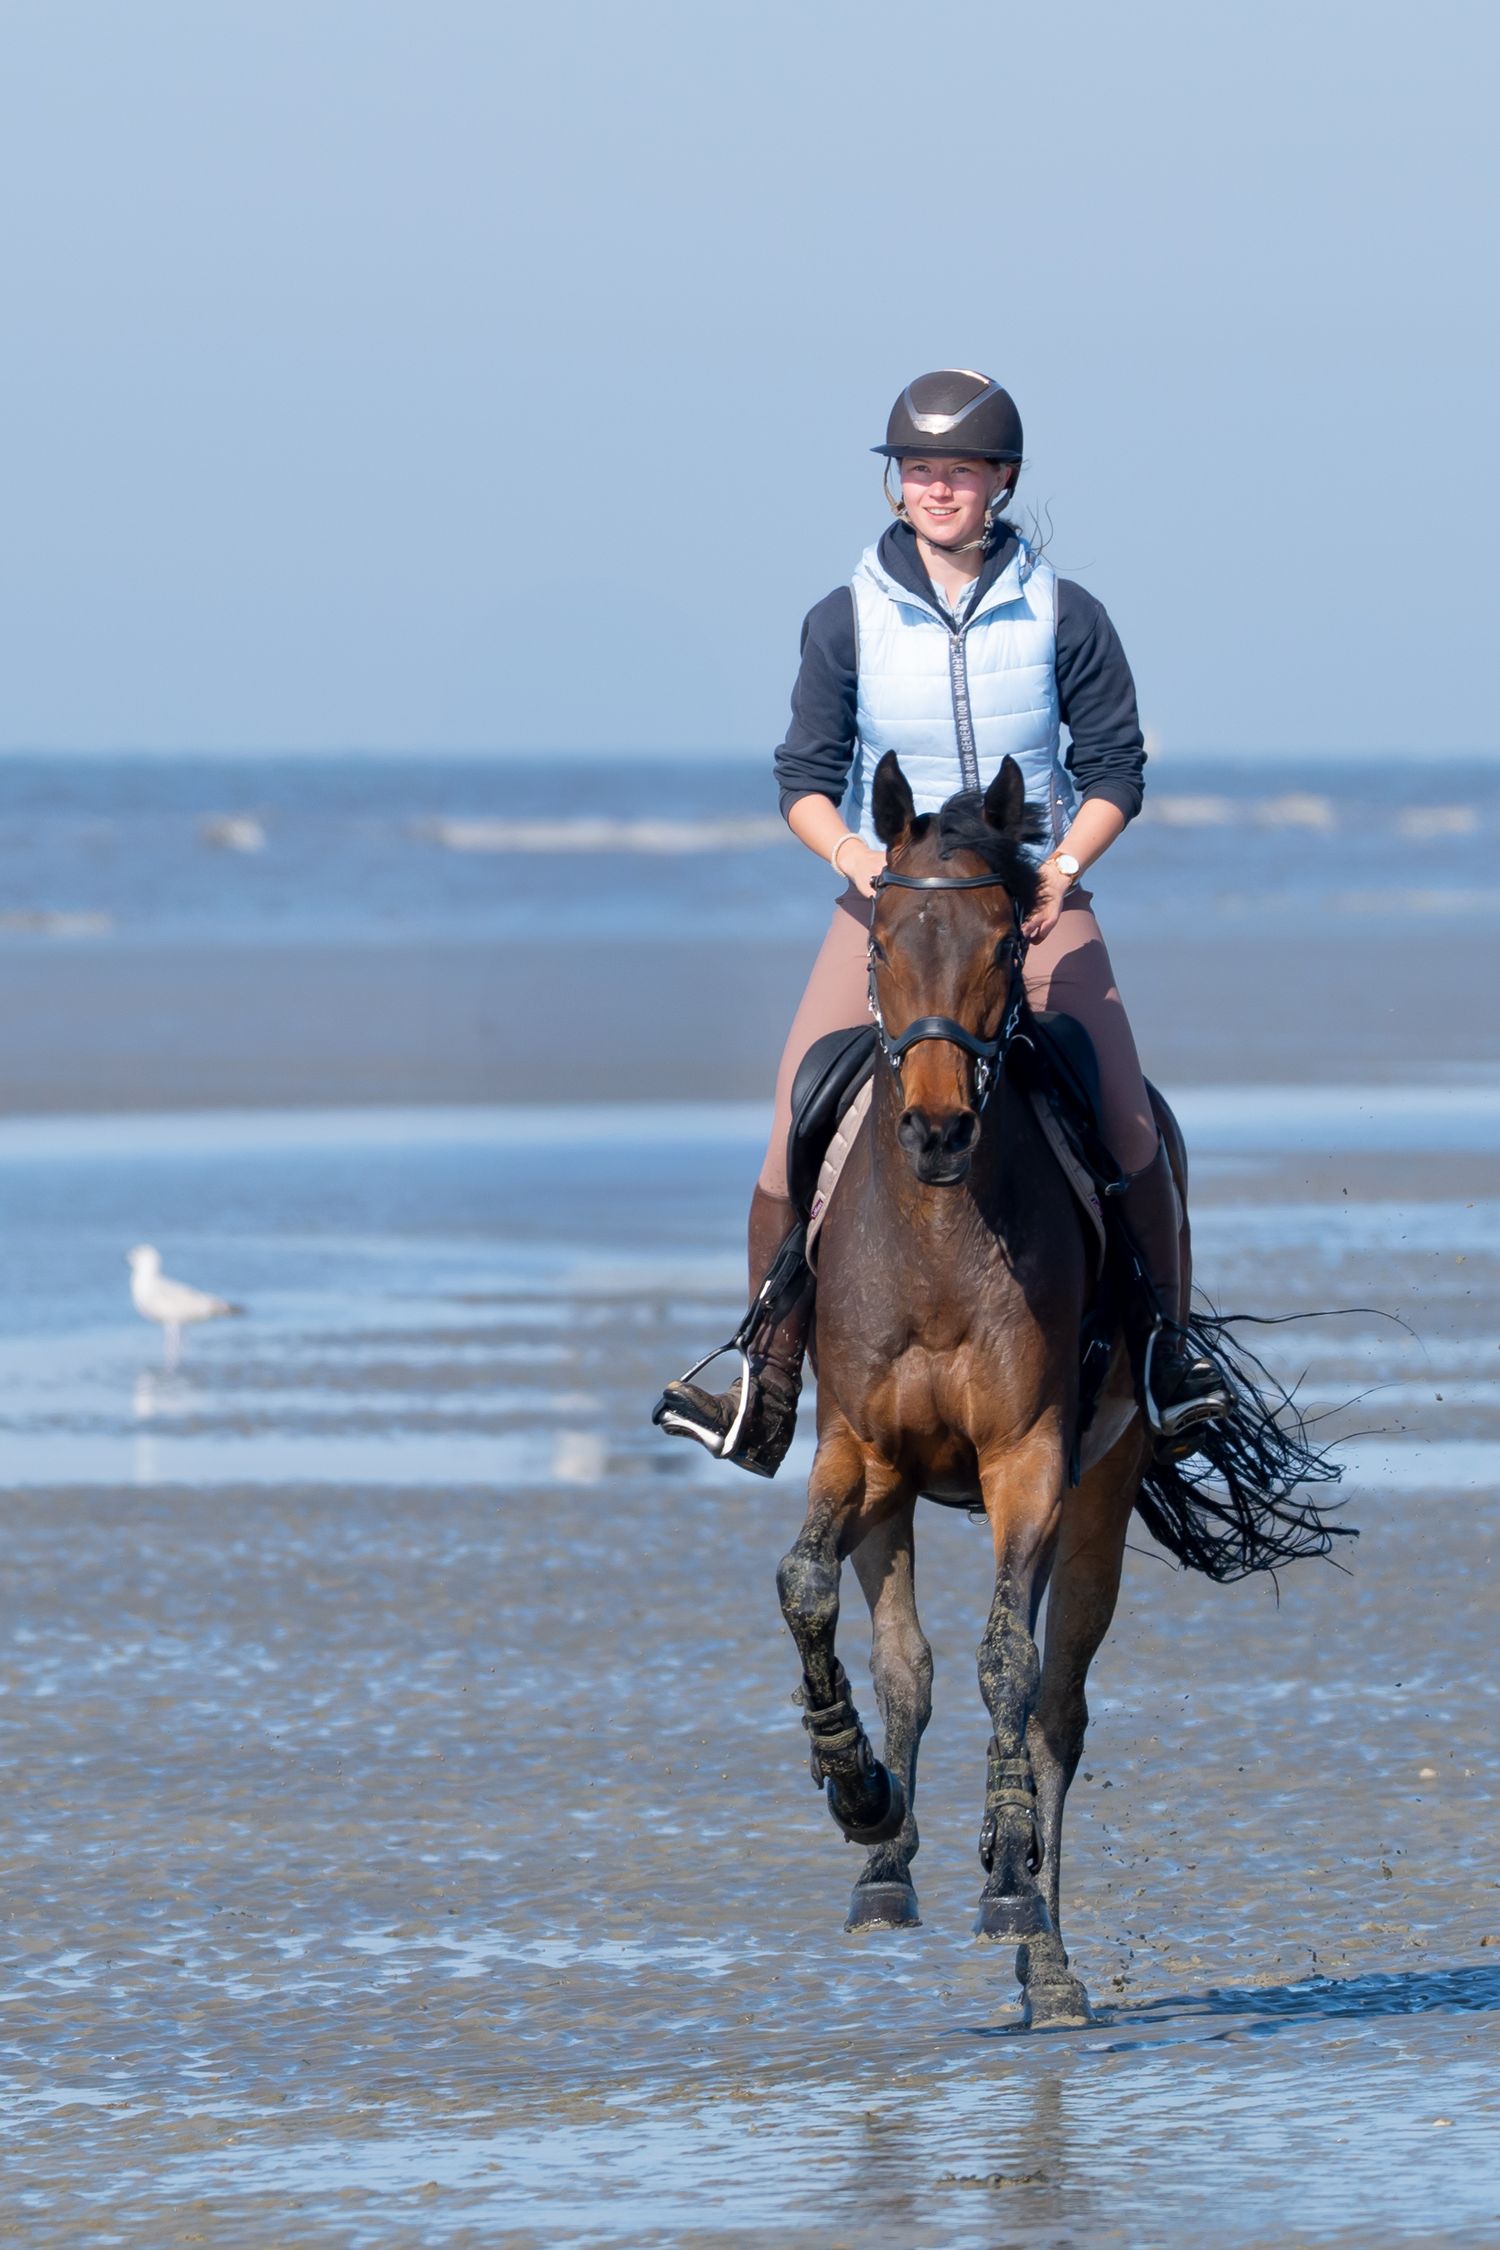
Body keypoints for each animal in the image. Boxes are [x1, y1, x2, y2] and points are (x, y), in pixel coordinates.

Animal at [774, 749, 1343, 2028]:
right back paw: (888, 1860)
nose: (937, 1130)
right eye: (881, 940)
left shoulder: (1033, 1459)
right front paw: (858, 1793)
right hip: (898, 1496)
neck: (940, 1235)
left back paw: (1043, 1945)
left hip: (1099, 1492)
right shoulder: (857, 1450)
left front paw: (1008, 1884)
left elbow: (1012, 1669)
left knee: (1055, 1707)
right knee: (908, 1664)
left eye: (1005, 946)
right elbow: (810, 1593)